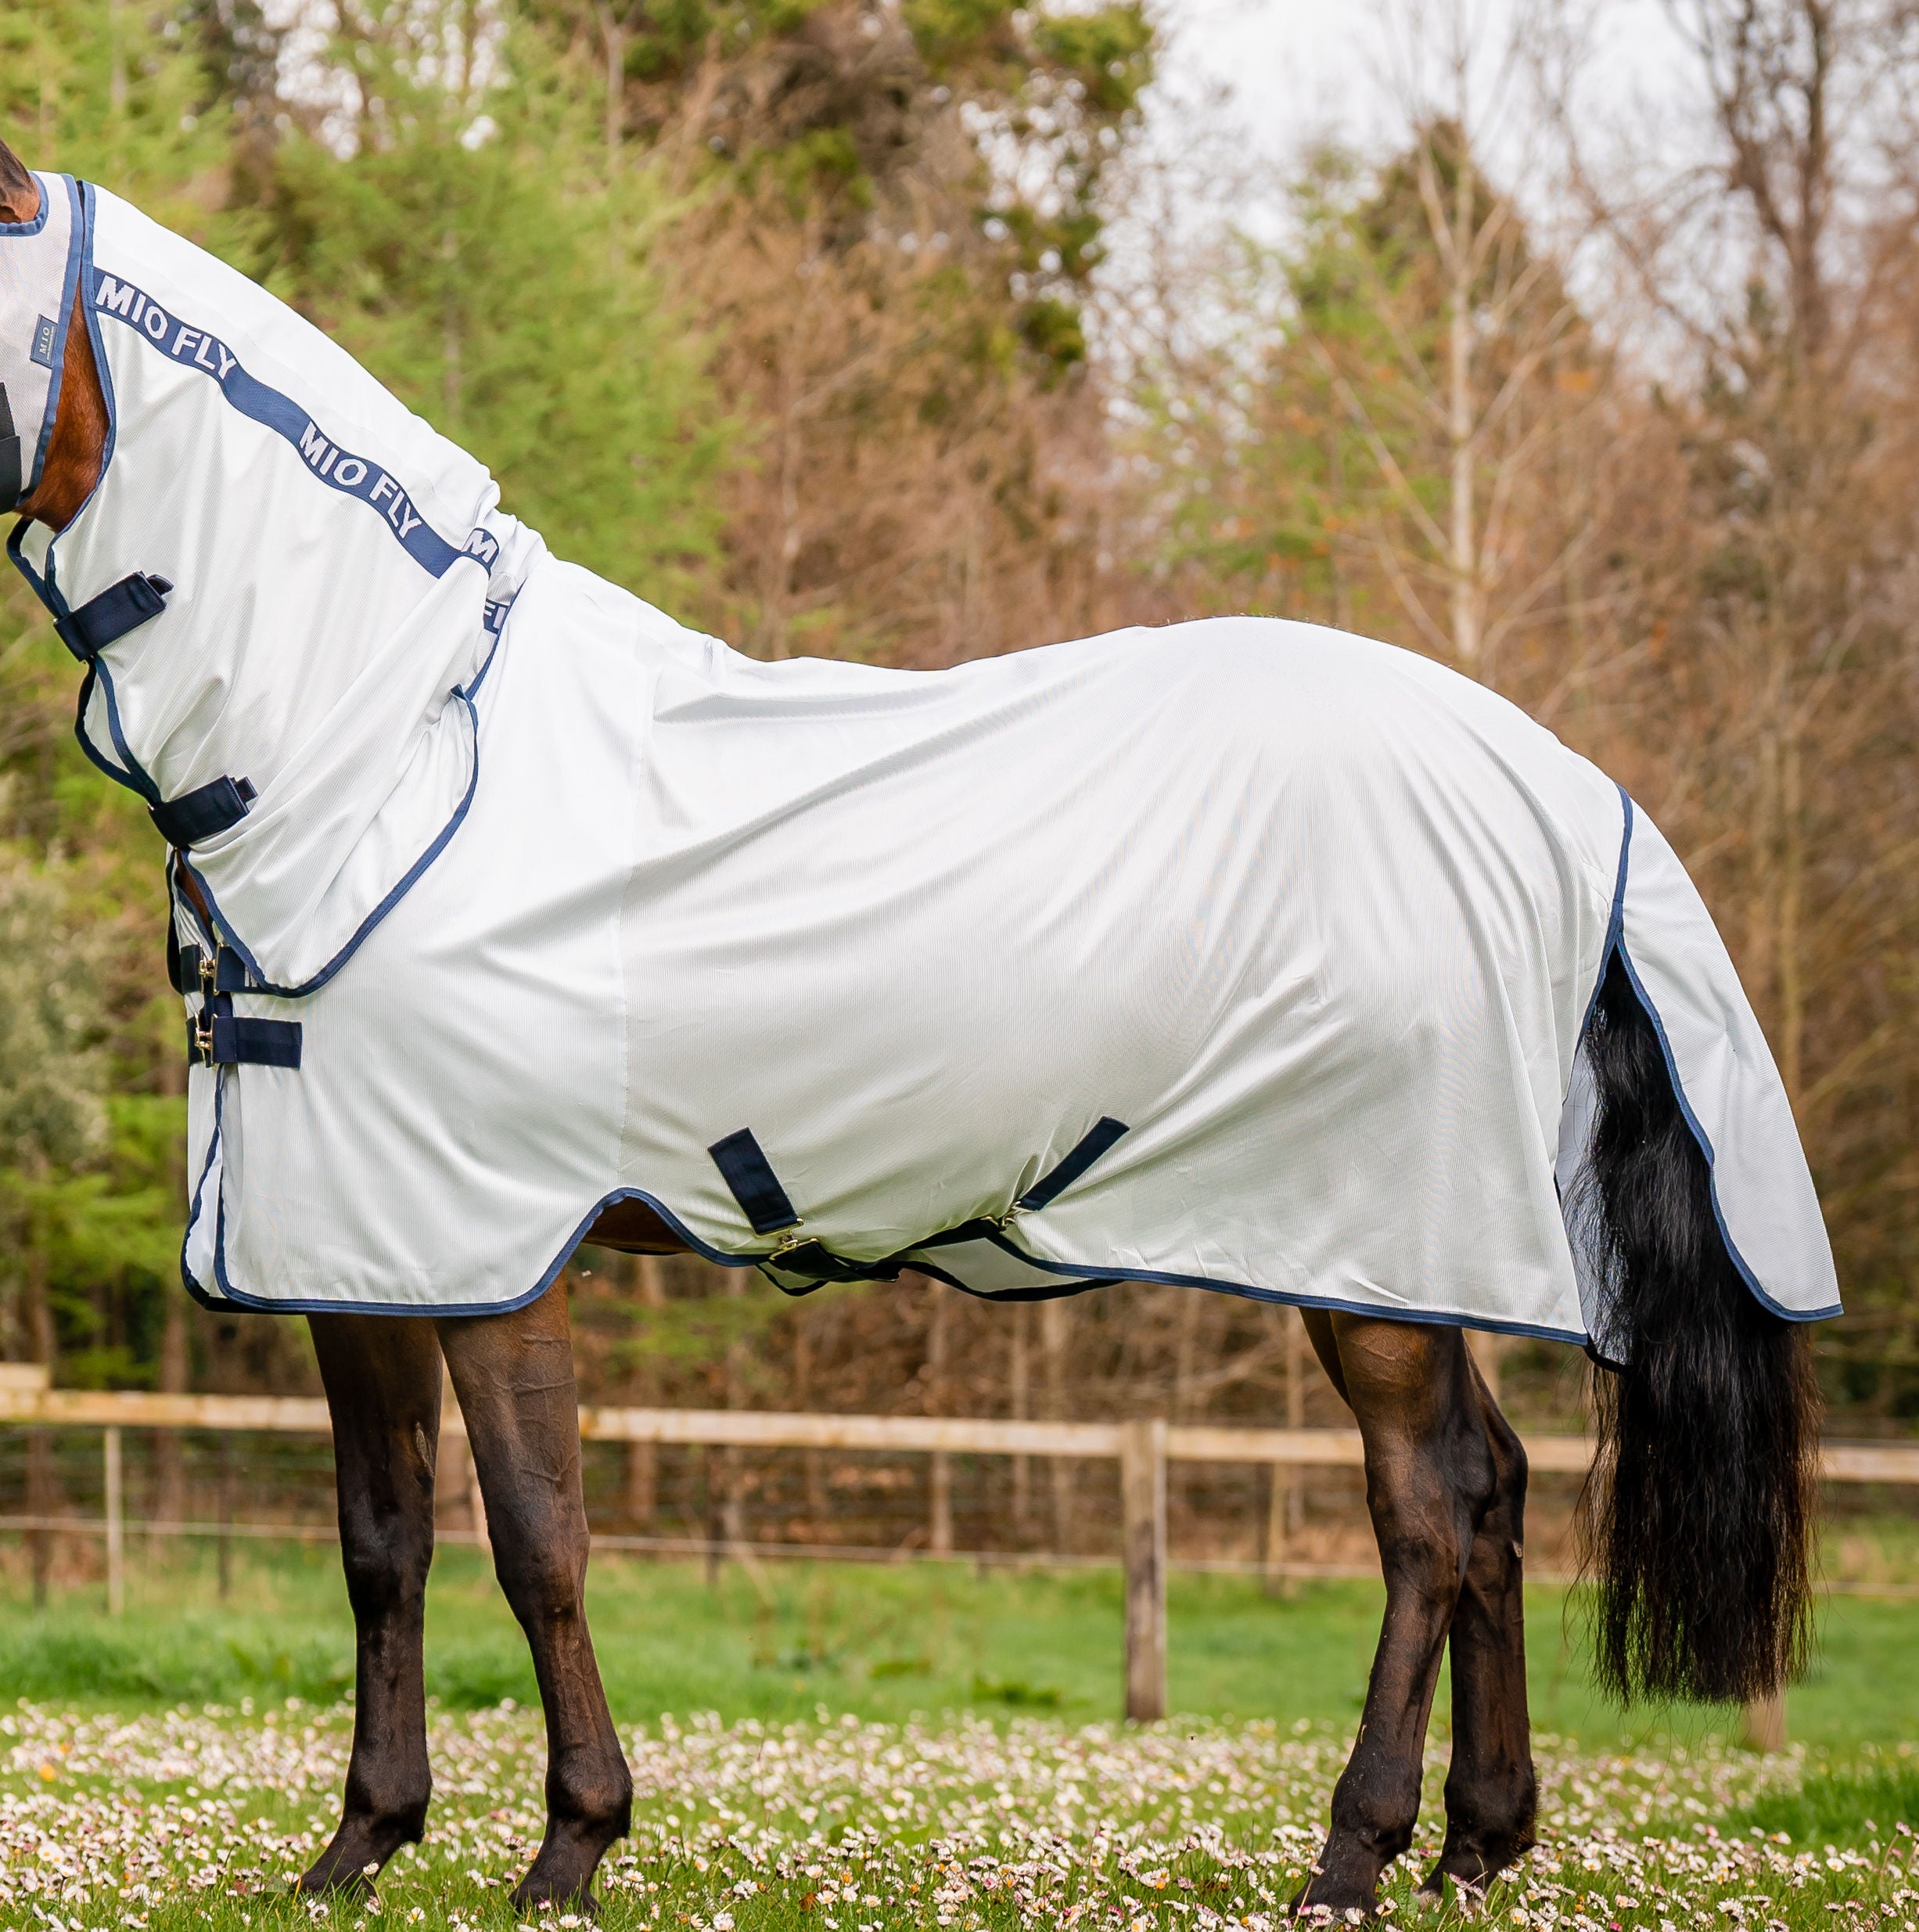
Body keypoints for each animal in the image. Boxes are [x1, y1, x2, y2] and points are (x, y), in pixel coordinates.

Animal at [0, 140, 1829, 1919]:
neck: (397, 752)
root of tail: (1558, 781)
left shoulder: (493, 1249)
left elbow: (537, 1541)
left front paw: (570, 1843)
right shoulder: (353, 1249)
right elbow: (383, 1540)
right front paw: (359, 1842)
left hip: (1365, 1243)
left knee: (1427, 1511)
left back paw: (1352, 1849)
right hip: (1414, 1257)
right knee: (1495, 1489)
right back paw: (1474, 1837)